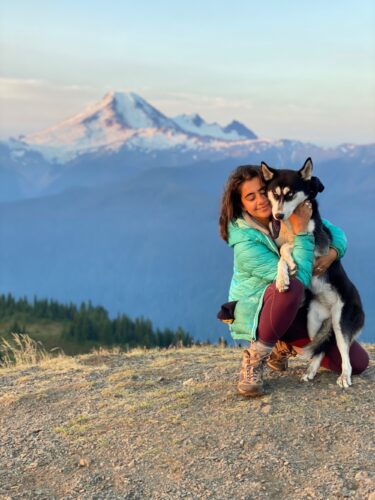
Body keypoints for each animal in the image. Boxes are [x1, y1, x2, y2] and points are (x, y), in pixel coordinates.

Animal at [262, 158, 364, 388]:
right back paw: (311, 371)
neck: (290, 224)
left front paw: (290, 263)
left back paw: (345, 377)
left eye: (290, 194)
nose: (278, 215)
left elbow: (289, 246)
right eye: (275, 194)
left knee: (343, 353)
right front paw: (283, 278)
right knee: (321, 348)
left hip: (341, 323)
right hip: (313, 323)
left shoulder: (319, 246)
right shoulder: (279, 242)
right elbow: (281, 252)